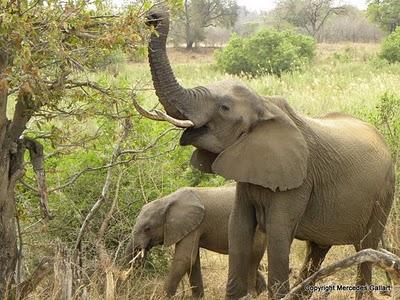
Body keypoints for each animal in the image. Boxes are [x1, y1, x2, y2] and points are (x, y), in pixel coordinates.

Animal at [128, 185, 266, 298]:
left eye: (147, 228)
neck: (167, 201)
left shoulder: (193, 226)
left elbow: (184, 259)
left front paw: (163, 297)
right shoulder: (192, 226)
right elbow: (193, 261)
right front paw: (197, 297)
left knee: (252, 256)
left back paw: (251, 295)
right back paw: (260, 290)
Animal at [142, 7, 396, 300]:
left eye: (224, 108)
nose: (154, 15)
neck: (264, 105)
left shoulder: (298, 180)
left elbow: (277, 233)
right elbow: (238, 228)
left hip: (384, 192)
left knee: (366, 247)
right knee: (317, 249)